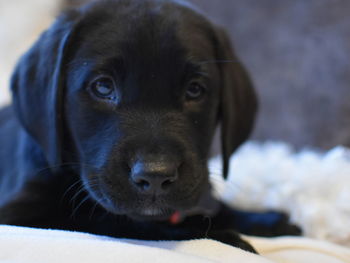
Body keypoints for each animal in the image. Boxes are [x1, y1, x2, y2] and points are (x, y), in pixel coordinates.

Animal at [0, 0, 300, 254]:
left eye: (195, 90)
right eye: (103, 87)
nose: (155, 176)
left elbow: (211, 205)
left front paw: (266, 220)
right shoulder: (19, 215)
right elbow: (112, 222)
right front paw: (222, 235)